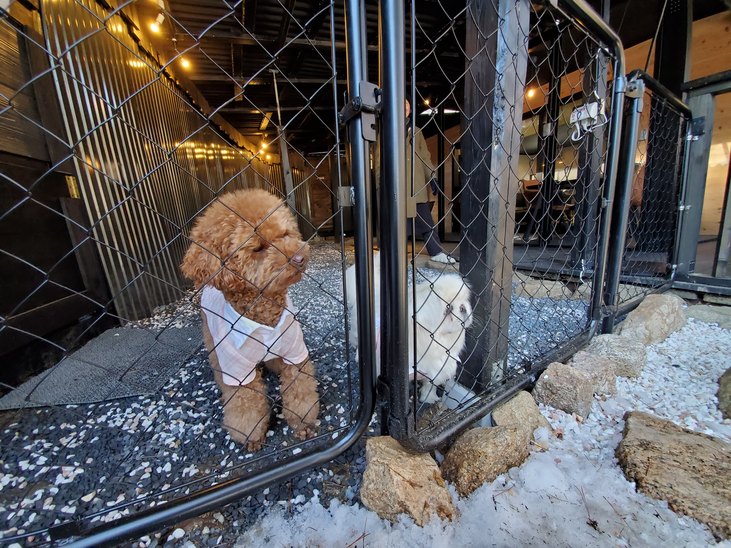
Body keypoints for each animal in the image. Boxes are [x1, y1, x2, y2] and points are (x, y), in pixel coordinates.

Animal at [180, 188, 318, 450]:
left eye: (285, 234)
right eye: (258, 248)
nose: (299, 258)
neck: (263, 311)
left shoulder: (294, 350)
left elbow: (299, 389)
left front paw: (302, 423)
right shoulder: (238, 371)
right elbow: (245, 404)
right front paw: (252, 436)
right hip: (211, 340)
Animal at [344, 253, 472, 402]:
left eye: (463, 301)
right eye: (448, 309)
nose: (463, 308)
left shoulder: (436, 371)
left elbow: (429, 386)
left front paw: (429, 398)